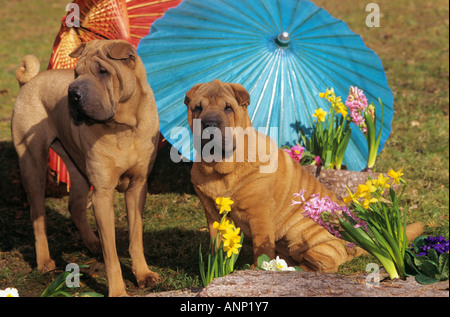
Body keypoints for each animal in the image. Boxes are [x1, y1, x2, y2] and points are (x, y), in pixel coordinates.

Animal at [11, 40, 160, 296]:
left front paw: (143, 274)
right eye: (76, 73)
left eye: (103, 71)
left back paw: (92, 243)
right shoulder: (102, 193)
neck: (123, 128)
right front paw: (118, 291)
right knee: (37, 215)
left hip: (77, 168)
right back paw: (45, 262)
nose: (73, 93)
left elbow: (136, 237)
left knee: (75, 206)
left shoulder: (138, 186)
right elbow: (112, 256)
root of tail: (28, 81)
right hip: (33, 163)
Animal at [184, 79, 422, 272]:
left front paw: (256, 270)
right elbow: (217, 247)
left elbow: (262, 248)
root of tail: (351, 244)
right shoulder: (213, 215)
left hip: (302, 236)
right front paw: (217, 269)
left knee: (325, 266)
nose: (210, 124)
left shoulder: (260, 213)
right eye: (197, 108)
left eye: (228, 108)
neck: (220, 168)